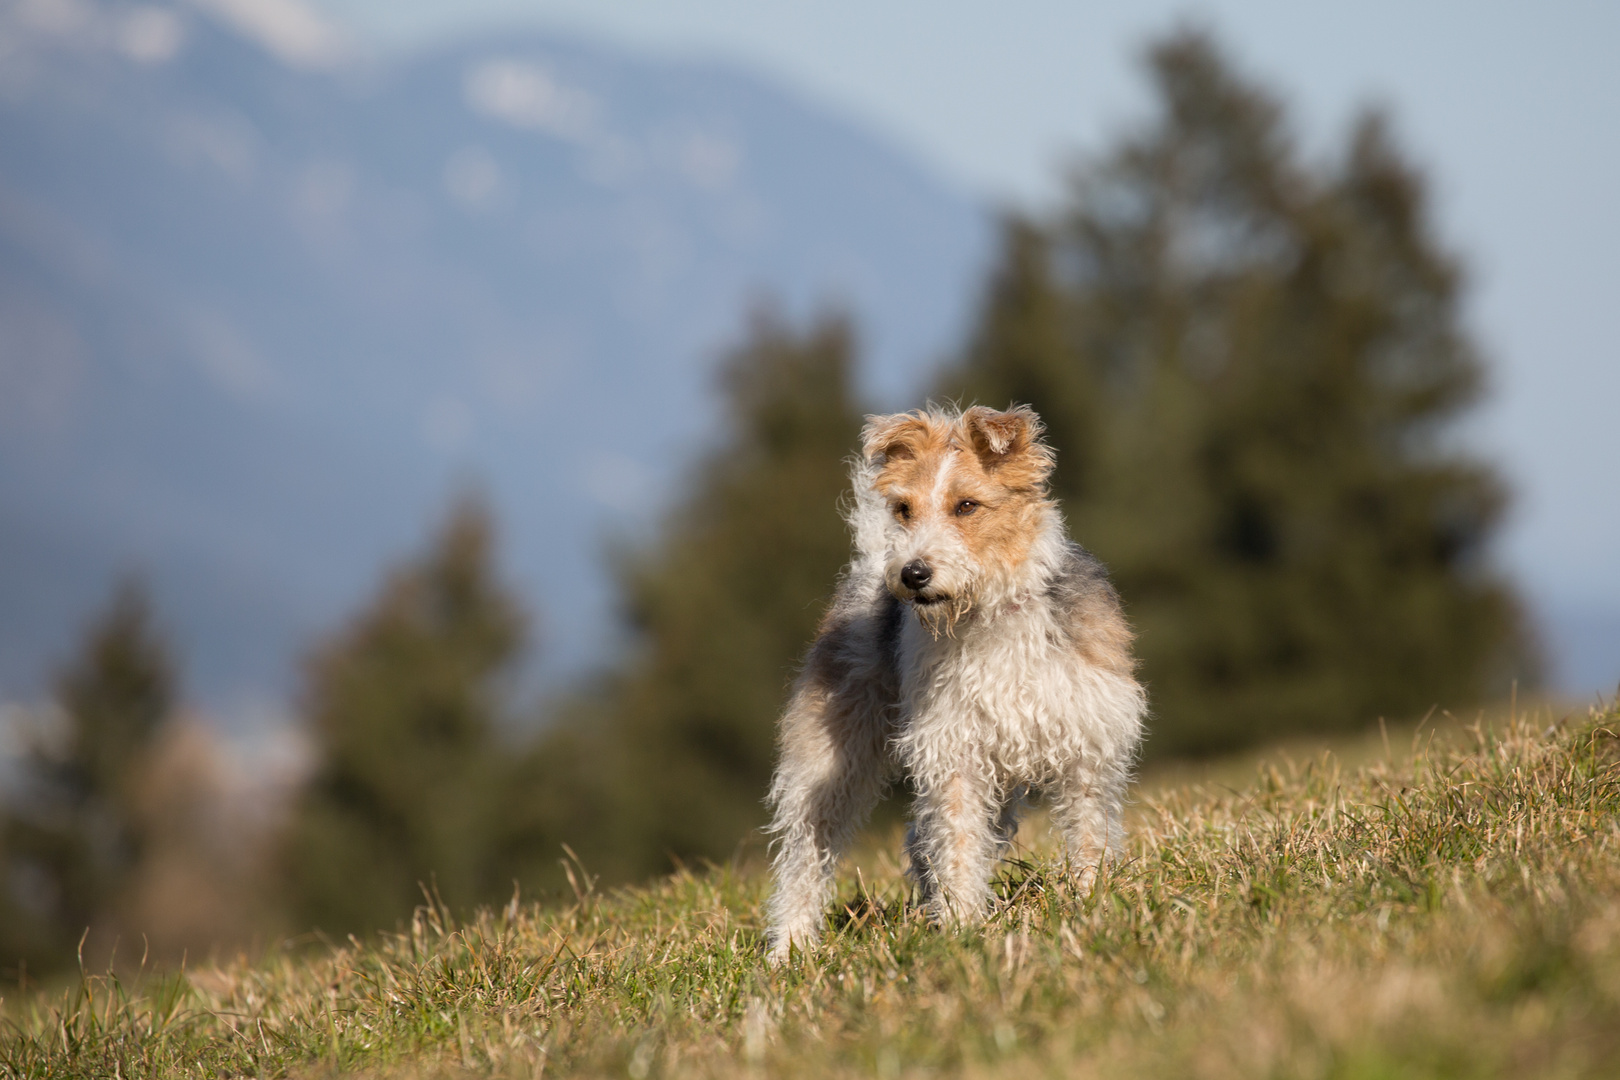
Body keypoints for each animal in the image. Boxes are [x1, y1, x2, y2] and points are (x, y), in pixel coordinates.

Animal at [764, 403, 1146, 965]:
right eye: (904, 508)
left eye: (967, 505)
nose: (912, 574)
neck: (992, 615)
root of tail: (868, 564)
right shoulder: (954, 756)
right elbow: (959, 848)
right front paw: (965, 930)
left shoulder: (1087, 750)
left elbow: (1089, 837)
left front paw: (1092, 904)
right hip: (828, 768)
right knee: (805, 859)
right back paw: (789, 950)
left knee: (918, 837)